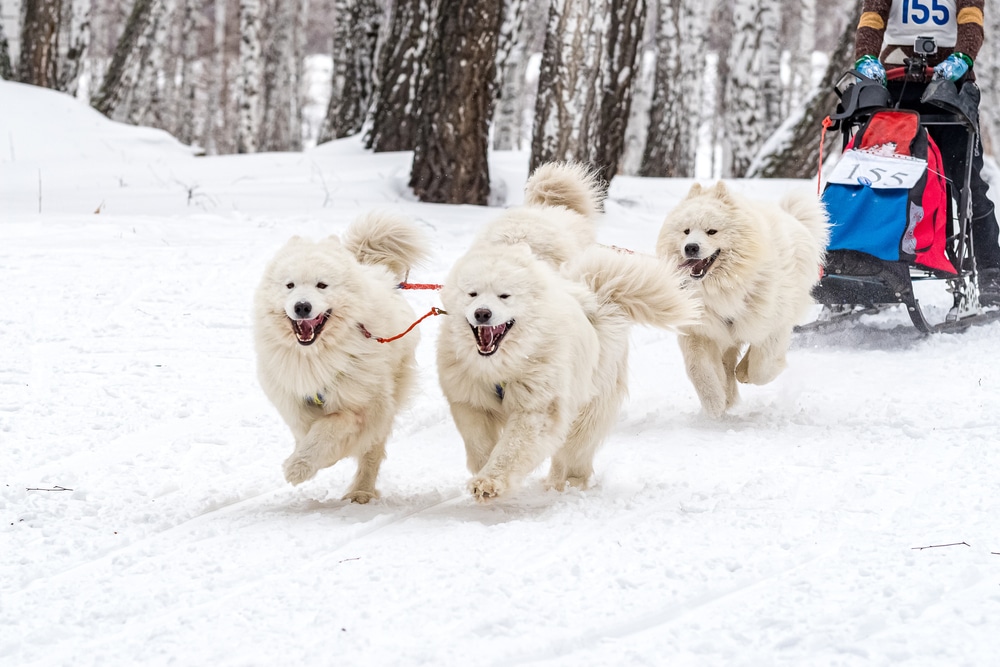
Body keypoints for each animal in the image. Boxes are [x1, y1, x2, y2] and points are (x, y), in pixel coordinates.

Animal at [252, 213, 428, 500]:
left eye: (322, 285)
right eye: (289, 285)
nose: (302, 306)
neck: (315, 355)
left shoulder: (361, 406)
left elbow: (329, 428)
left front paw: (298, 467)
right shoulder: (294, 401)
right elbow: (306, 431)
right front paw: (310, 460)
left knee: (372, 453)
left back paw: (361, 493)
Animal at [434, 163, 700, 500]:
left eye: (504, 296)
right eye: (472, 294)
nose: (482, 314)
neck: (502, 364)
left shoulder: (537, 404)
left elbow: (512, 448)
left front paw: (491, 481)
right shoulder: (469, 398)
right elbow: (480, 441)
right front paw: (483, 472)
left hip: (590, 397)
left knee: (576, 447)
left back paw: (567, 483)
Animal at [656, 183, 828, 418]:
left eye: (711, 231)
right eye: (686, 231)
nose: (690, 247)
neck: (725, 287)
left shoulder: (772, 323)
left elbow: (761, 367)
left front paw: (746, 373)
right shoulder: (701, 329)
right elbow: (698, 369)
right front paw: (715, 402)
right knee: (726, 363)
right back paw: (728, 395)